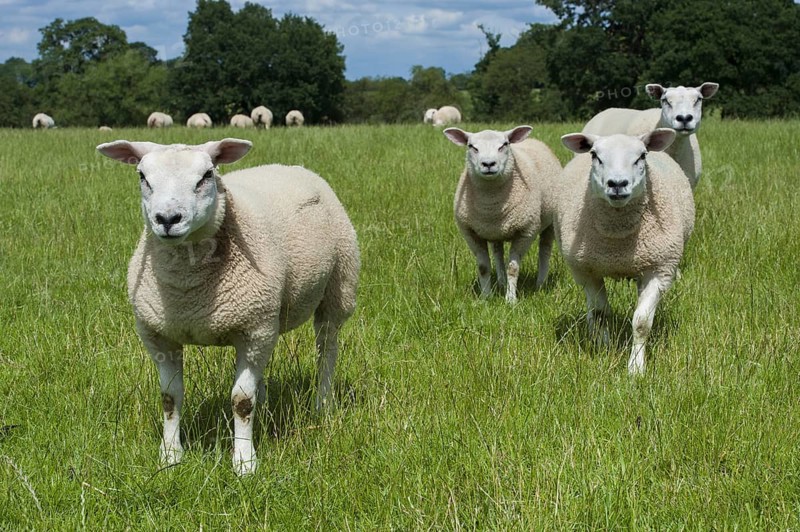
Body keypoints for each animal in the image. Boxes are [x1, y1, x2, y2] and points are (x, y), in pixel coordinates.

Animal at [95, 138, 360, 475]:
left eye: (207, 175)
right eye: (143, 176)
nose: (167, 219)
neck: (190, 293)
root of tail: (290, 166)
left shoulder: (253, 329)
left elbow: (241, 402)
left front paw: (245, 462)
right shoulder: (159, 335)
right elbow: (169, 398)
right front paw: (170, 456)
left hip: (338, 288)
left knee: (326, 350)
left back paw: (322, 405)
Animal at [444, 125, 562, 303]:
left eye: (504, 145)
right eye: (472, 146)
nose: (488, 164)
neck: (491, 204)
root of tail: (534, 140)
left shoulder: (525, 231)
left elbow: (513, 268)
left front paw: (510, 300)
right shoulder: (471, 233)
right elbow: (483, 267)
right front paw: (486, 297)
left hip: (549, 223)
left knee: (545, 250)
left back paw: (540, 283)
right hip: (495, 232)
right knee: (498, 253)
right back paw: (501, 282)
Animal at [555, 129, 695, 374]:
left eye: (642, 156)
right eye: (594, 155)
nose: (617, 184)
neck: (618, 244)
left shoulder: (660, 270)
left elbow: (641, 322)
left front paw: (636, 367)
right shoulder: (588, 270)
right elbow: (600, 314)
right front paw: (603, 349)